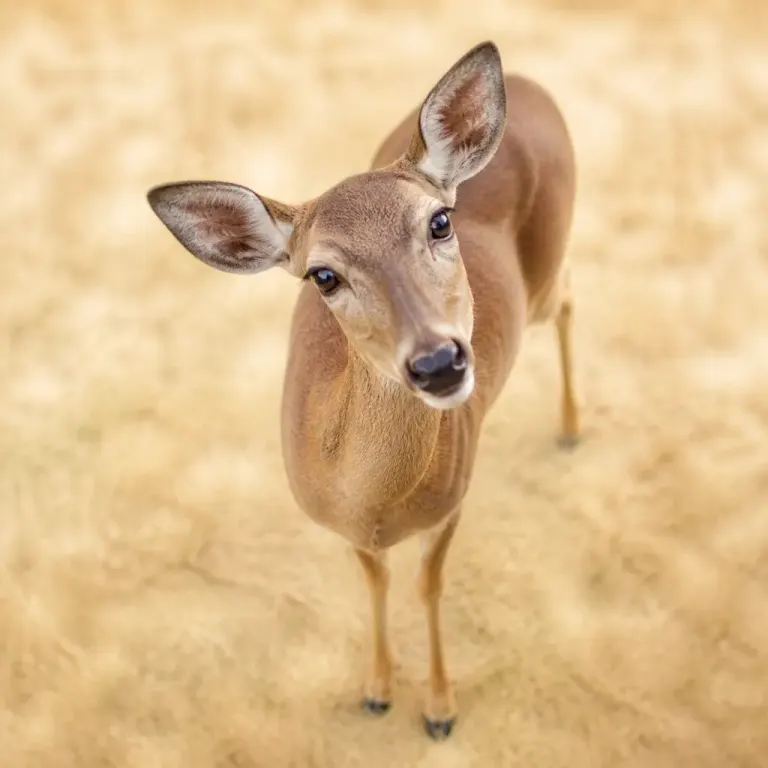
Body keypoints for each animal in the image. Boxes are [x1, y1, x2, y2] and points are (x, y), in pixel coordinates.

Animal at [146, 40, 579, 740]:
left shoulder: (452, 501)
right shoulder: (344, 526)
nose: (439, 362)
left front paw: (439, 710)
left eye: (439, 221)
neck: (375, 503)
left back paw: (570, 428)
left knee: (569, 294)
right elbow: (376, 585)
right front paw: (376, 689)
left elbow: (428, 586)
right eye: (322, 275)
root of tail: (530, 84)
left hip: (547, 269)